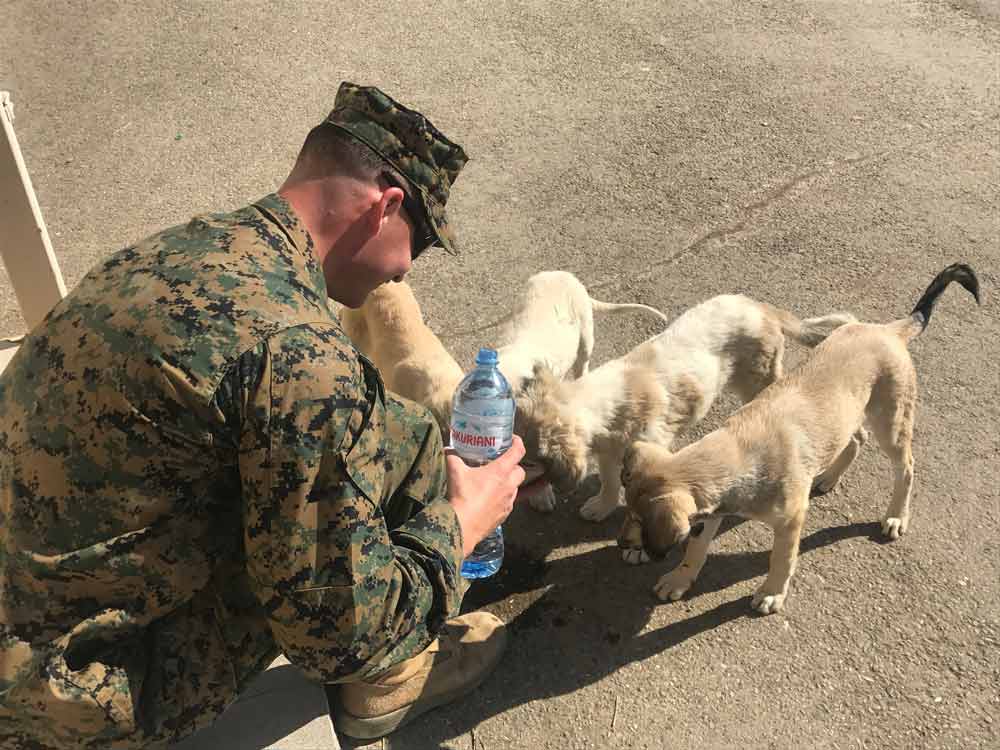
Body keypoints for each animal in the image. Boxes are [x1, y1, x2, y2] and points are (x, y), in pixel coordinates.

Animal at [512, 290, 856, 524]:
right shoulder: (609, 450)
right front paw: (601, 507)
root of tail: (760, 308)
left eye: (528, 461)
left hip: (759, 378)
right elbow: (609, 481)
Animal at [620, 264, 980, 616]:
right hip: (848, 413)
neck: (741, 452)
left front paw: (771, 594)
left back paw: (896, 517)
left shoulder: (790, 519)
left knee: (905, 467)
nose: (624, 546)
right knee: (856, 439)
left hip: (891, 420)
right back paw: (829, 478)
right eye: (629, 513)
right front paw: (679, 579)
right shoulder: (710, 510)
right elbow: (696, 549)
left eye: (639, 520)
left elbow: (783, 559)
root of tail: (889, 329)